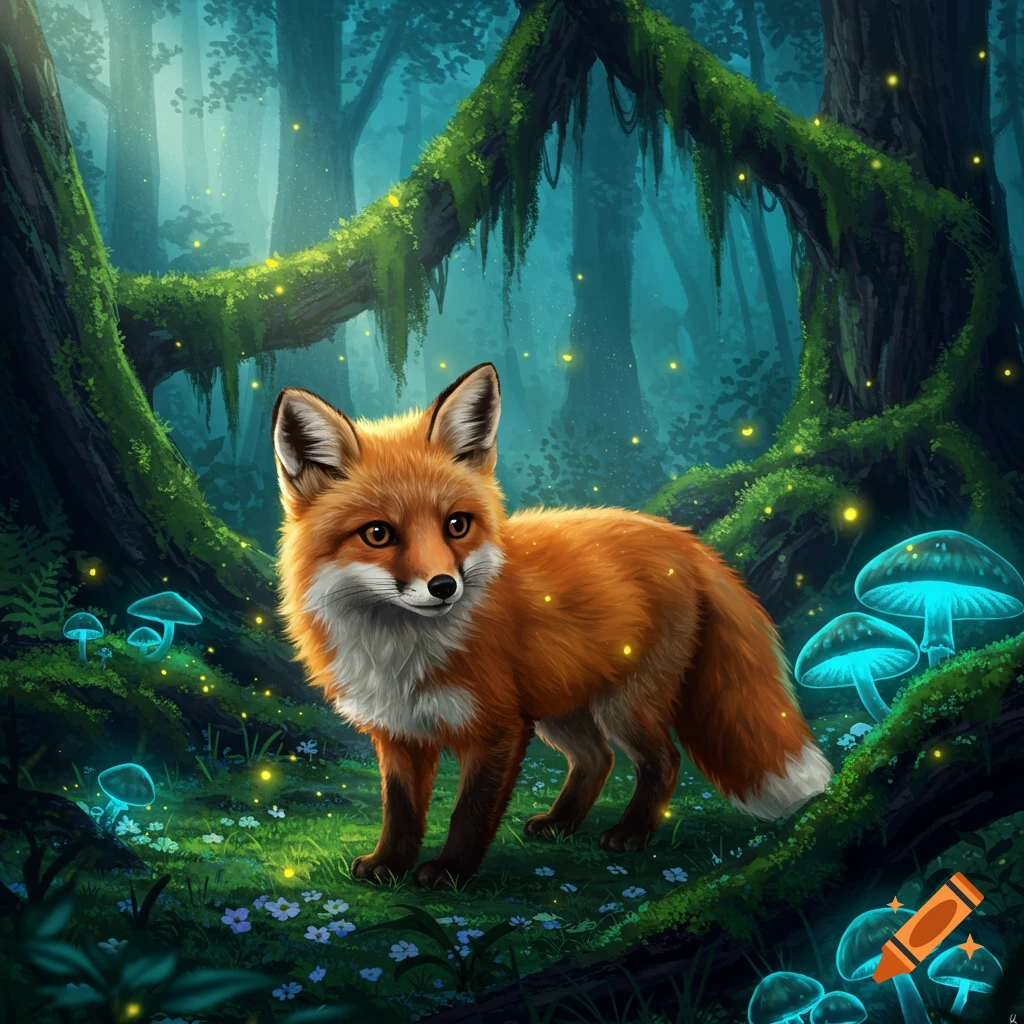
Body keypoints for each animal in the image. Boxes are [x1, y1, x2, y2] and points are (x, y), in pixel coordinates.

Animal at [272, 363, 833, 889]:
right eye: (378, 534)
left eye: (457, 525)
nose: (444, 586)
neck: (402, 652)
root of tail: (683, 538)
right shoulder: (399, 731)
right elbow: (402, 811)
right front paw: (389, 865)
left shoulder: (498, 727)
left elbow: (470, 810)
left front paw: (451, 872)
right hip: (560, 705)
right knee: (597, 759)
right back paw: (562, 823)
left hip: (624, 703)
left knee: (663, 760)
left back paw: (631, 832)